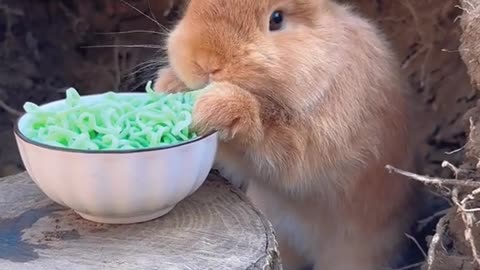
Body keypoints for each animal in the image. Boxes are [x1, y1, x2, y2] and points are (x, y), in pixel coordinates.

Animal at [154, 1, 420, 268]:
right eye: (192, 8)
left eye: (277, 19)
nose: (204, 62)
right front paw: (167, 85)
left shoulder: (312, 144)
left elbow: (273, 139)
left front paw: (216, 107)